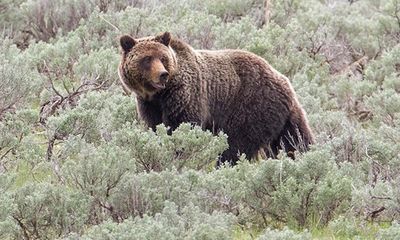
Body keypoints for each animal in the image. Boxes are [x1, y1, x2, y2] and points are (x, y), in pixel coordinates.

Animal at [117, 31, 314, 166]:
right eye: (147, 59)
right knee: (294, 139)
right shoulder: (149, 105)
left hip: (251, 106)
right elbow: (156, 127)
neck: (159, 95)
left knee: (236, 145)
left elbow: (182, 127)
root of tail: (283, 80)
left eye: (163, 57)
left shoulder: (186, 96)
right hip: (282, 116)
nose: (162, 74)